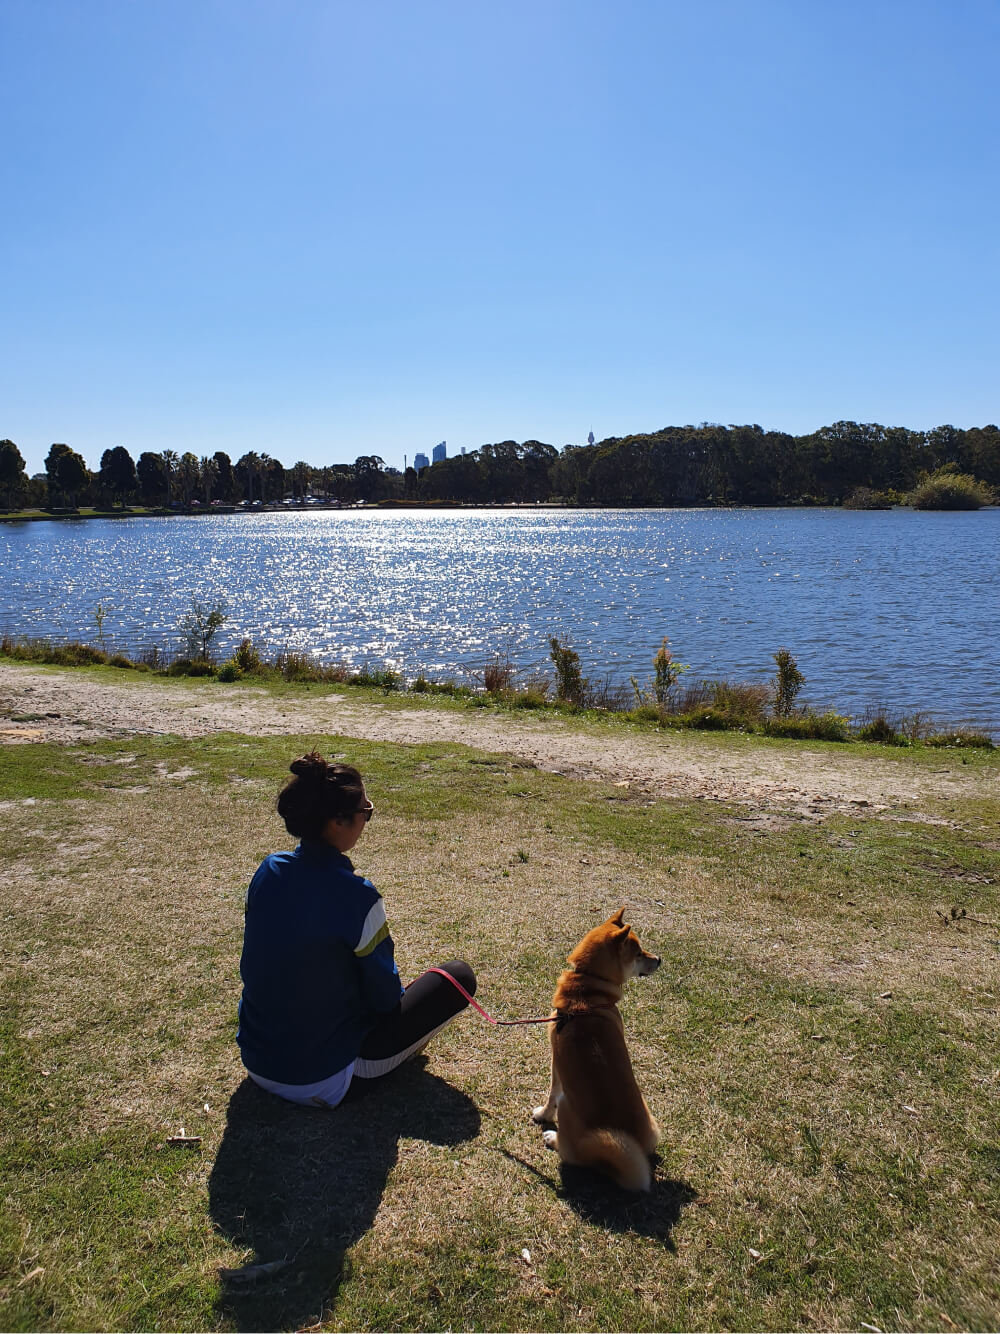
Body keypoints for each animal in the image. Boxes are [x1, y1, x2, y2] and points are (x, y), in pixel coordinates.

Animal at [533, 912, 666, 1195]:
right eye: (639, 952)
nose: (659, 959)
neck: (588, 988)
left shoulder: (556, 1061)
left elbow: (551, 1094)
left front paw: (542, 1116)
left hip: (568, 1106)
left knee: (570, 1154)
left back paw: (553, 1138)